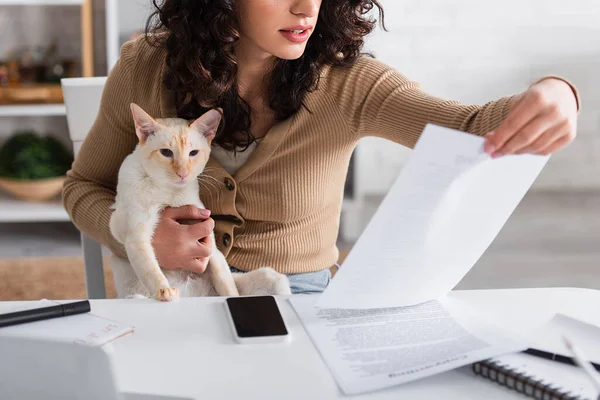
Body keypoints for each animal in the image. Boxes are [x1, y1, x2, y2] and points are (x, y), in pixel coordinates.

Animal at [111, 103, 294, 300]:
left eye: (193, 153)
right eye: (166, 152)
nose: (183, 174)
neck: (169, 191)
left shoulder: (209, 244)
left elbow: (227, 285)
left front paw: (231, 299)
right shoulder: (135, 236)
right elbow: (151, 270)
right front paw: (165, 290)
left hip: (273, 278)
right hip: (134, 296)